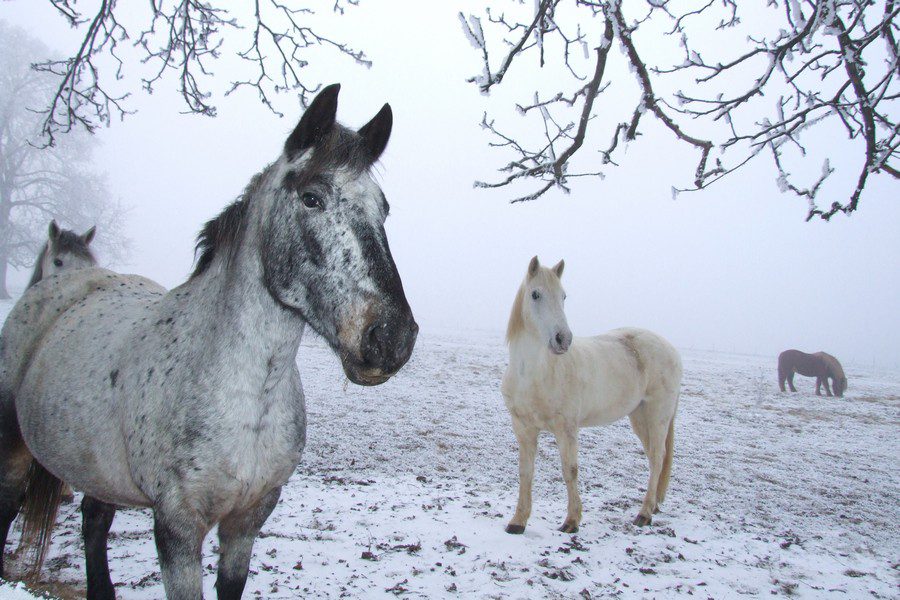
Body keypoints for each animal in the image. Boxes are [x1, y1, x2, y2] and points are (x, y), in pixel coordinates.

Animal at [500, 255, 684, 532]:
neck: (532, 373)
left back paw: (644, 514)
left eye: (564, 296)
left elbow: (570, 470)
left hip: (657, 416)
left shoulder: (566, 428)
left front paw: (572, 521)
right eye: (535, 294)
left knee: (657, 457)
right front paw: (518, 522)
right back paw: (652, 507)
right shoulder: (523, 427)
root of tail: (671, 349)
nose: (563, 339)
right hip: (640, 417)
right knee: (655, 457)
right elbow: (525, 472)